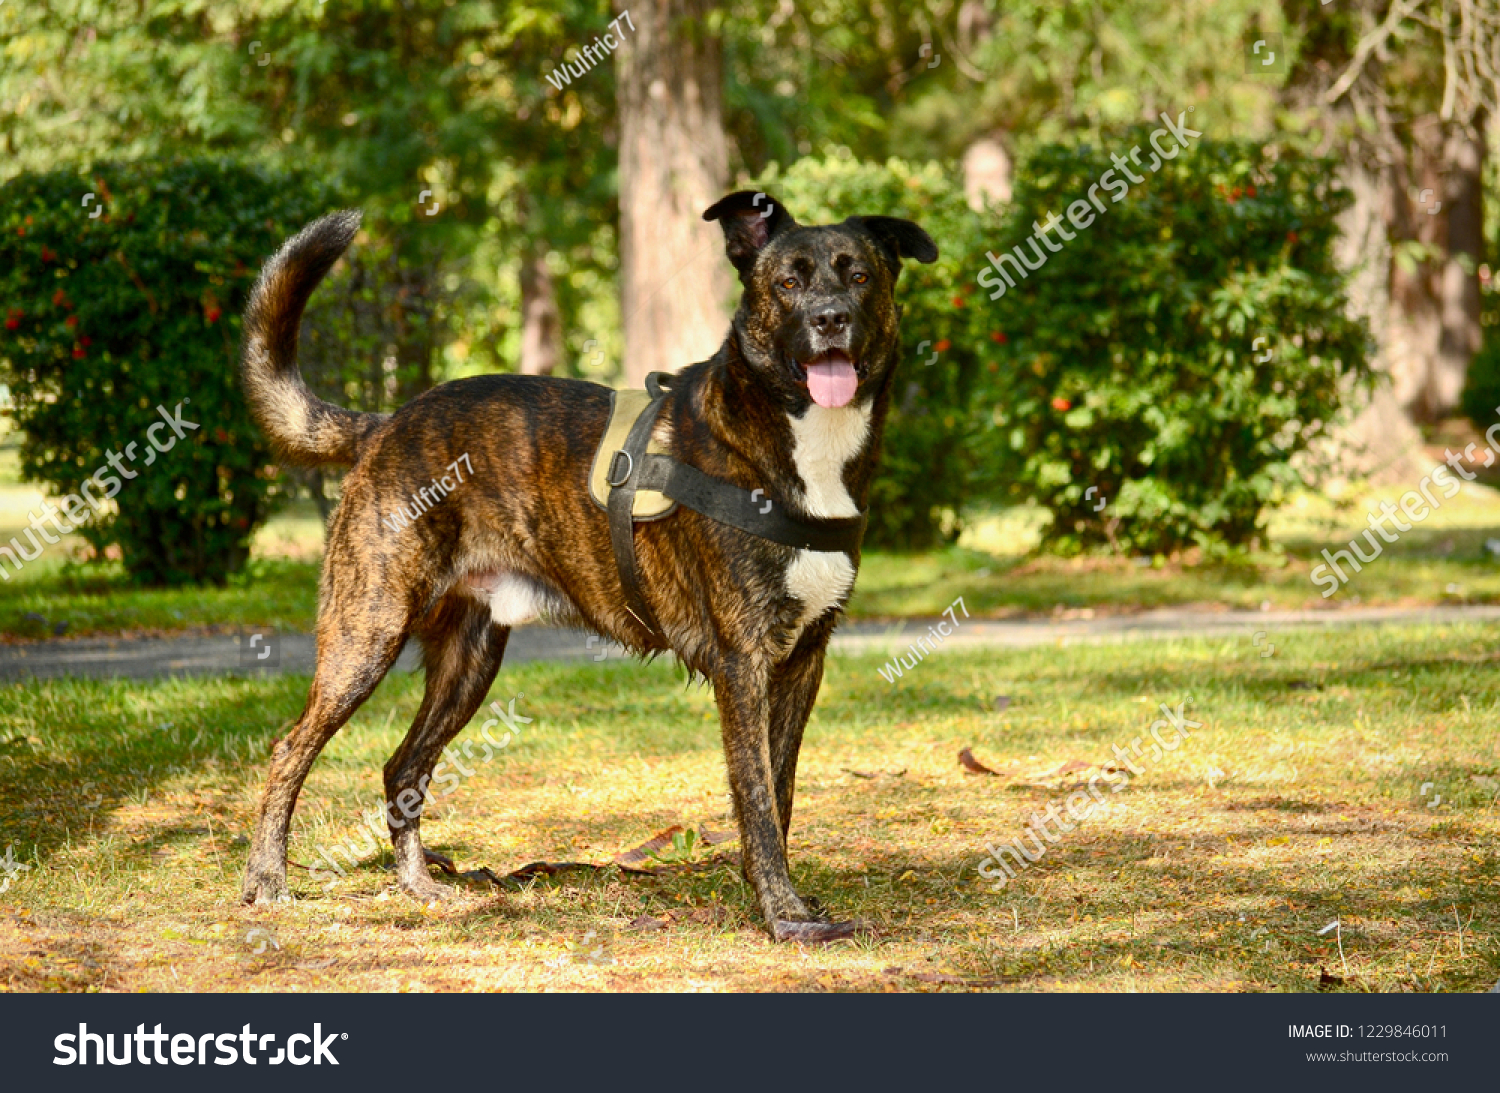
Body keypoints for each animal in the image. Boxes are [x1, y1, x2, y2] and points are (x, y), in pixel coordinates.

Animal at [238, 189, 930, 935]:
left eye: (858, 275)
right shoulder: (743, 663)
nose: (830, 319)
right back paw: (267, 879)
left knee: (404, 767)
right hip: (367, 633)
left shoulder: (804, 660)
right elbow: (757, 801)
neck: (794, 434)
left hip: (468, 661)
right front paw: (781, 915)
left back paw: (420, 886)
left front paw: (781, 897)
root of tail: (389, 422)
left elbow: (782, 791)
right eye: (788, 283)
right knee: (289, 750)